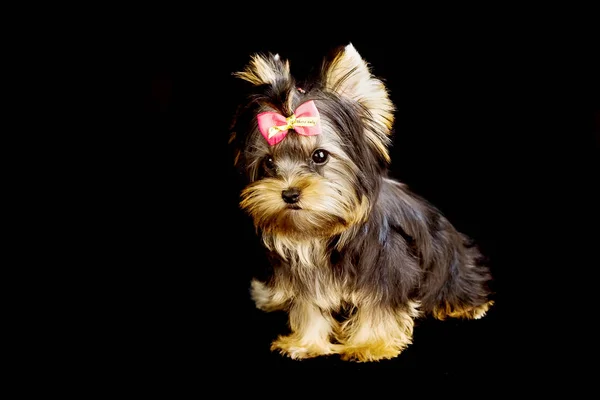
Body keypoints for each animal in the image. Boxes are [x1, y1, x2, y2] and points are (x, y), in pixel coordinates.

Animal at [227, 43, 494, 362]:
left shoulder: (389, 267)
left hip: (450, 264)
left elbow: (379, 305)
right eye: (268, 162)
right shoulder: (303, 274)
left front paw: (370, 343)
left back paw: (466, 305)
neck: (320, 233)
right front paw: (306, 342)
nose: (289, 194)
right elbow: (308, 306)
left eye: (319, 156)